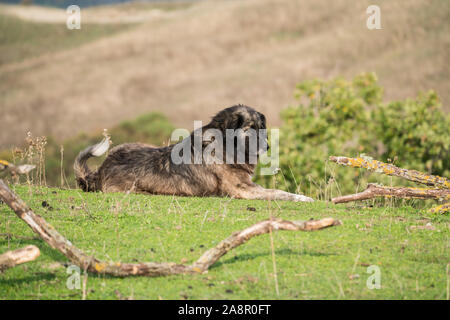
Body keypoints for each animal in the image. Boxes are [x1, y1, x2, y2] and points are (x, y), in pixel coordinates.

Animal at [74, 106, 312, 204]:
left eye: (261, 127)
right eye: (249, 129)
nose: (267, 146)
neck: (224, 144)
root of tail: (101, 169)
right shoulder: (243, 189)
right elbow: (279, 192)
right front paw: (304, 198)